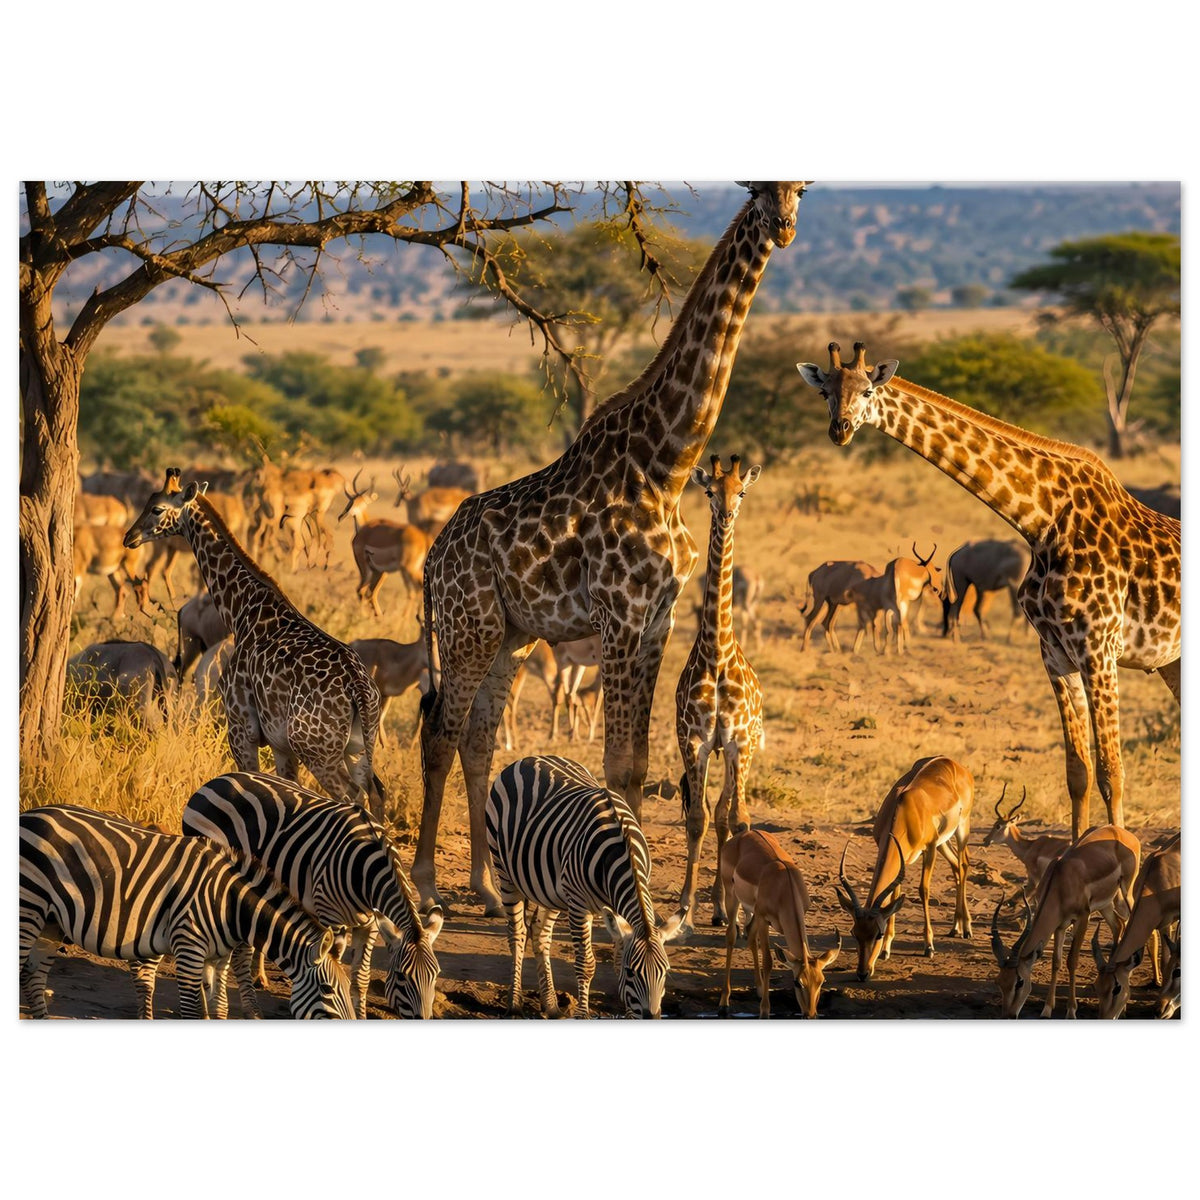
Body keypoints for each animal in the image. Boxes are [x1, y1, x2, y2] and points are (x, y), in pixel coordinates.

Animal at [19, 804, 355, 1019]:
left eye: (348, 989)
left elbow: (218, 1009)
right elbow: (193, 1011)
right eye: (326, 989)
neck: (230, 903)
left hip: (51, 923)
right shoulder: (189, 946)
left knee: (33, 976)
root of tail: (29, 814)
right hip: (28, 907)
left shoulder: (217, 958)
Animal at [181, 771, 442, 1019]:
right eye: (401, 976)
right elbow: (334, 966)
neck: (367, 869)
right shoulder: (331, 916)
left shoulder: (370, 924)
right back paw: (246, 1009)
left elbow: (361, 978)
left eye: (435, 975)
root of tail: (217, 779)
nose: (422, 1019)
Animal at [485, 755, 688, 1019]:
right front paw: (582, 1013)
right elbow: (586, 963)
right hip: (505, 872)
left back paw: (551, 1005)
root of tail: (530, 758)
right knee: (517, 934)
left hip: (551, 890)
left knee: (539, 932)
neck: (622, 852)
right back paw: (514, 1003)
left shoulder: (614, 909)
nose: (651, 1017)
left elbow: (616, 958)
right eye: (632, 972)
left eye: (665, 971)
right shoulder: (579, 904)